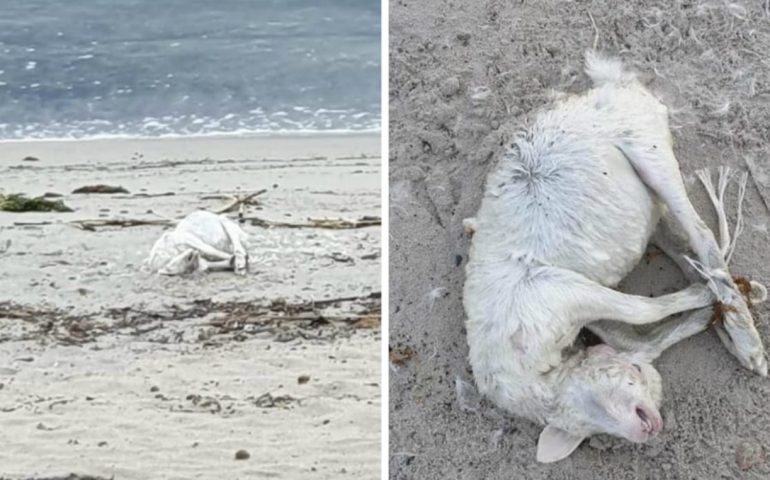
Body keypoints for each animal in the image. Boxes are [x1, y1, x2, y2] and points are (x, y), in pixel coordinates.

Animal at [460, 54, 764, 464]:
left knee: (701, 233)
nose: (647, 429)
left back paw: (746, 338)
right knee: (678, 239)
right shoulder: (588, 311)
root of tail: (612, 82)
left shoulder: (555, 289)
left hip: (648, 149)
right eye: (590, 430)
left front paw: (703, 295)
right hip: (647, 198)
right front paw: (703, 313)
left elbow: (642, 310)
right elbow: (641, 341)